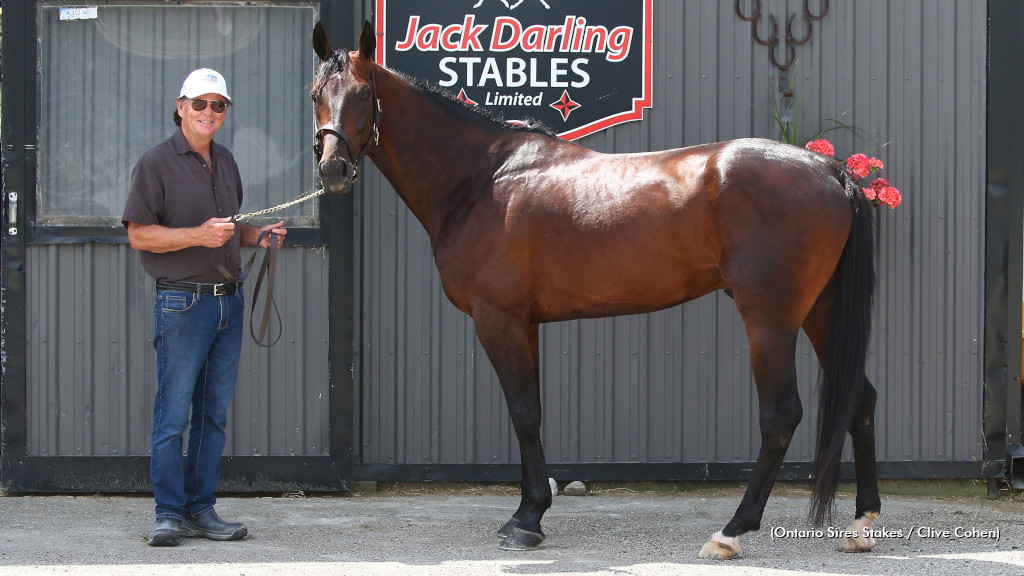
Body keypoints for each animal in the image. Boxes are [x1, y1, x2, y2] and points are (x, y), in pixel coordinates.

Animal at [311, 22, 880, 557]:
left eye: (362, 93)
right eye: (317, 92)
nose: (333, 169)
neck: (483, 178)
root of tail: (830, 169)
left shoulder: (499, 318)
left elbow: (523, 412)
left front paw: (527, 521)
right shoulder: (525, 323)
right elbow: (533, 411)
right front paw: (531, 509)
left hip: (771, 316)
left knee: (781, 413)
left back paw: (731, 532)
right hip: (821, 310)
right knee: (860, 398)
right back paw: (862, 524)